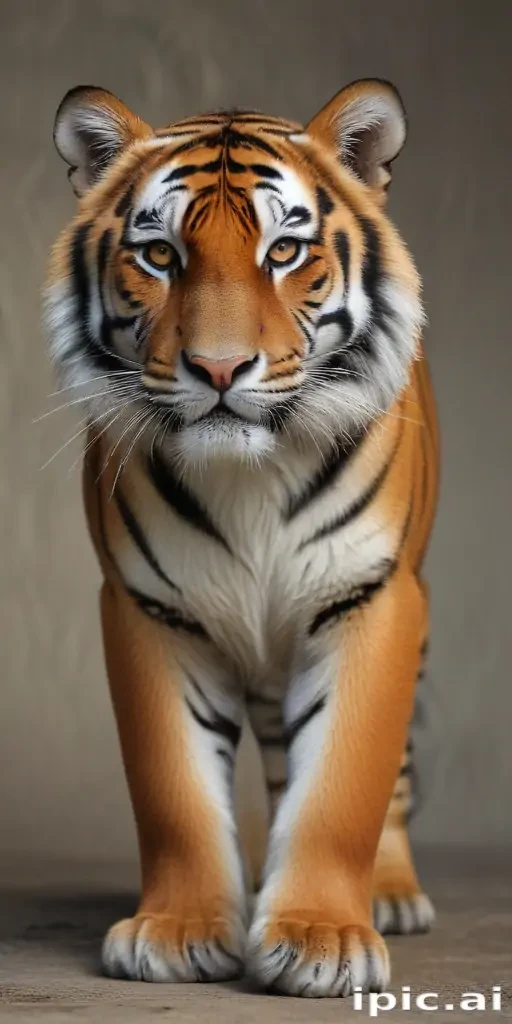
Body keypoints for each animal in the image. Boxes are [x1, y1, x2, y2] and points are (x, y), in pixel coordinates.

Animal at [45, 78, 439, 998]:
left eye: (284, 251)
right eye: (159, 257)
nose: (219, 369)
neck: (250, 476)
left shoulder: (372, 599)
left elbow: (342, 788)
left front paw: (322, 938)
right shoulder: (151, 612)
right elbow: (176, 791)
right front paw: (180, 931)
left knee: (392, 782)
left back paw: (390, 895)